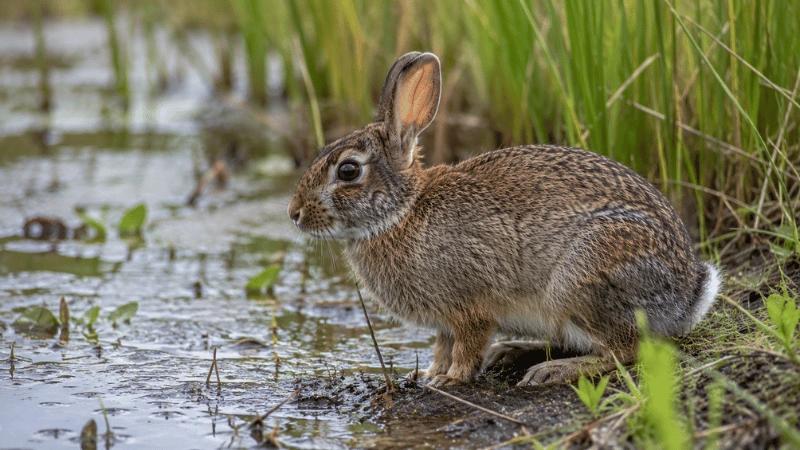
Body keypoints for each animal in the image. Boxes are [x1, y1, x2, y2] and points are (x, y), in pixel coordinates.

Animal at [287, 52, 722, 387]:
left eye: (348, 171)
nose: (295, 214)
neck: (401, 211)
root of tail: (688, 295)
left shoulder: (470, 306)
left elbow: (467, 344)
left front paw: (450, 378)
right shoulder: (445, 320)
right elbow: (441, 345)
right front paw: (430, 373)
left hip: (582, 279)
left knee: (625, 350)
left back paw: (550, 371)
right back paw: (512, 350)